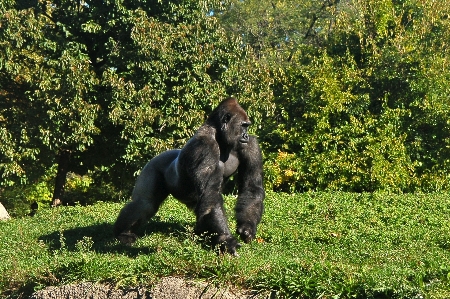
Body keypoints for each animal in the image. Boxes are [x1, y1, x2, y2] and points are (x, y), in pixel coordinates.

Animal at [112, 98, 266, 255]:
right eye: (243, 126)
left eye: (247, 127)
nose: (246, 135)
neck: (219, 136)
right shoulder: (204, 146)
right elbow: (211, 195)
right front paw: (226, 240)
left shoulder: (251, 145)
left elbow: (251, 187)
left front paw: (247, 228)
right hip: (154, 164)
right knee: (145, 203)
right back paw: (123, 233)